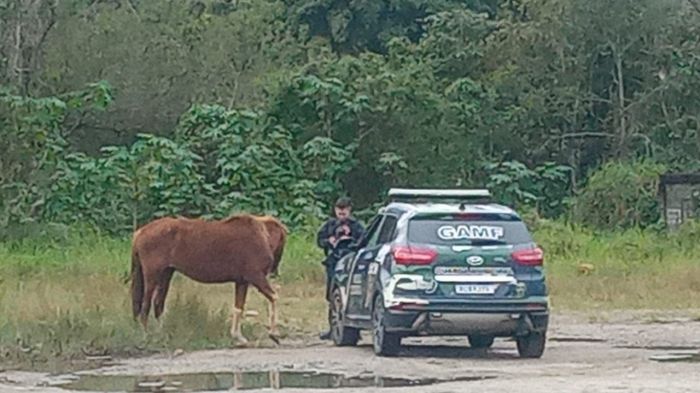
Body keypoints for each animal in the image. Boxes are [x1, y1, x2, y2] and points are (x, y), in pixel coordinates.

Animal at [130, 213, 286, 342]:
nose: (274, 271)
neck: (261, 235)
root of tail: (140, 232)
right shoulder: (256, 277)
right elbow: (274, 297)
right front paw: (274, 333)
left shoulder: (242, 282)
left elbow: (238, 307)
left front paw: (237, 336)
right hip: (152, 276)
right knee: (145, 306)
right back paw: (145, 336)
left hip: (166, 274)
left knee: (158, 304)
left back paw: (161, 334)